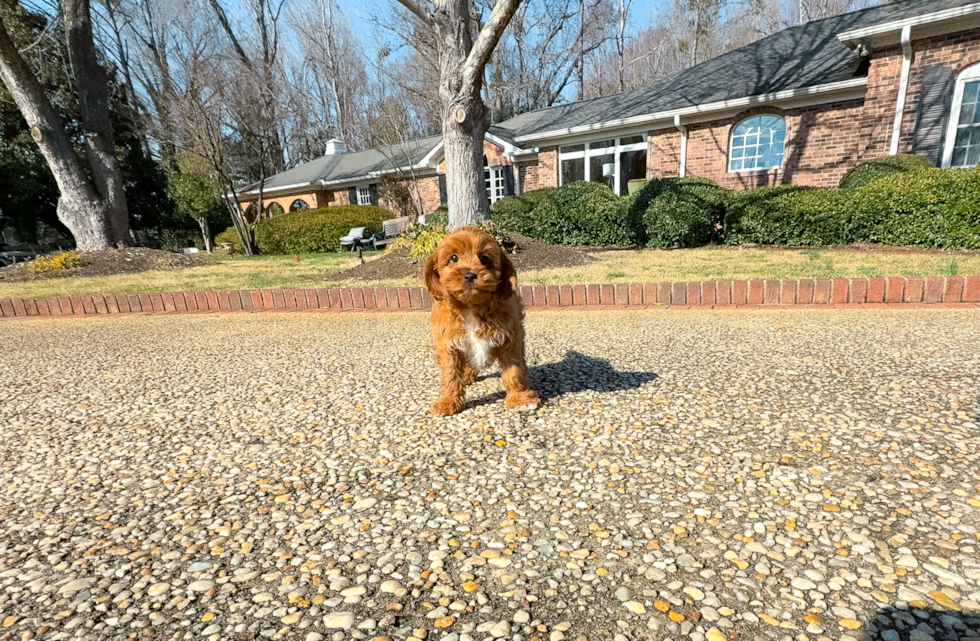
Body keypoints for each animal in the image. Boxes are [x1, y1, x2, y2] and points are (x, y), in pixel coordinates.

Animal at [424, 225, 540, 416]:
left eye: (484, 258)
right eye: (453, 258)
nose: (470, 275)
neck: (471, 306)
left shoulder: (510, 338)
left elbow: (514, 370)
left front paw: (520, 399)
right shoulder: (447, 342)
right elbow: (450, 373)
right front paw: (448, 402)